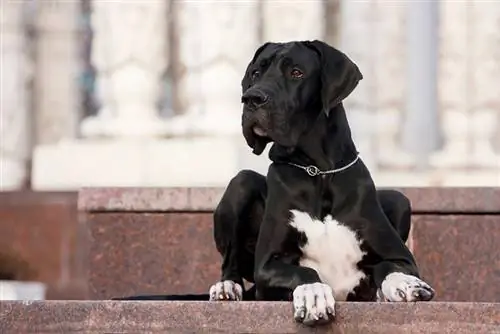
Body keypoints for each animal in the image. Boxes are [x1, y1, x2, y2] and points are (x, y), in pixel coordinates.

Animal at [207, 39, 434, 326]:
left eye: (296, 73)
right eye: (256, 74)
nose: (251, 98)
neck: (319, 171)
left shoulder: (402, 256)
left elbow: (389, 266)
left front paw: (405, 284)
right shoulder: (267, 267)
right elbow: (304, 273)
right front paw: (313, 294)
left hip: (399, 199)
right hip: (241, 183)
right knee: (231, 262)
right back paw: (226, 287)